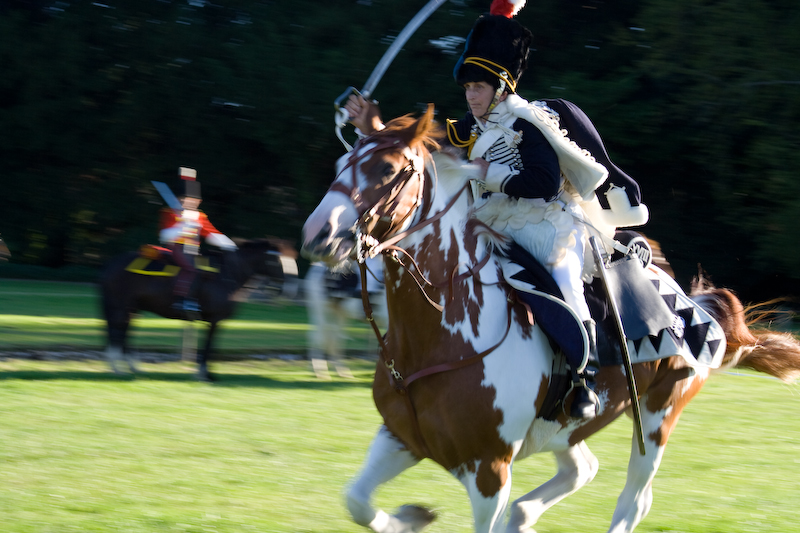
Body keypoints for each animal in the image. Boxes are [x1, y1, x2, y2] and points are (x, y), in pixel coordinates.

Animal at [97, 239, 296, 380]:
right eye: (277, 260)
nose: (287, 290)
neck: (228, 274)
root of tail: (112, 264)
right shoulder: (215, 319)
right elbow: (209, 345)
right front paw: (204, 374)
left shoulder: (215, 321)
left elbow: (210, 345)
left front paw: (205, 372)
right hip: (120, 306)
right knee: (117, 331)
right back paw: (117, 367)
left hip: (131, 308)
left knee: (124, 332)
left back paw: (130, 366)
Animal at [302, 106, 800, 528]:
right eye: (342, 163)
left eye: (387, 170)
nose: (318, 234)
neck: (441, 340)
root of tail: (698, 307)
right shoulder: (400, 438)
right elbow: (357, 501)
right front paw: (413, 517)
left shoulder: (489, 472)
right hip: (562, 430)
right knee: (583, 470)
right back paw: (523, 518)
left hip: (659, 416)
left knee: (634, 501)